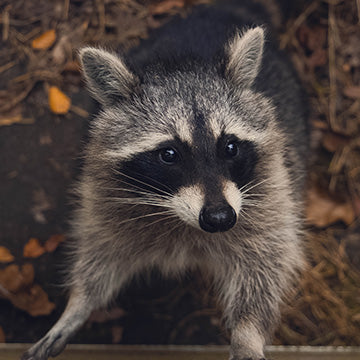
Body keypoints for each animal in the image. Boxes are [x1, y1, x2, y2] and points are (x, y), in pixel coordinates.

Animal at [21, 0, 310, 360]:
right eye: (169, 154)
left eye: (230, 147)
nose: (220, 218)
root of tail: (224, 9)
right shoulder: (106, 193)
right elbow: (101, 250)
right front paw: (79, 303)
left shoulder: (270, 190)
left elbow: (266, 261)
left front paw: (248, 332)